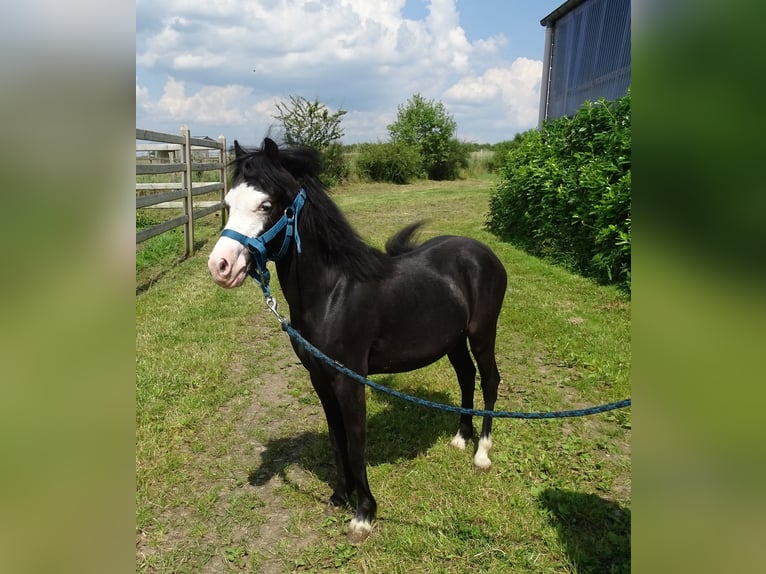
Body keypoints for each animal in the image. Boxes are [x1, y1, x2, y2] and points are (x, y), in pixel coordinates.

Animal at [208, 140, 510, 544]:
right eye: (228, 202)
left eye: (266, 205)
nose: (220, 266)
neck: (334, 292)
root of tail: (484, 253)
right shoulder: (320, 379)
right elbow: (337, 437)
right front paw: (340, 495)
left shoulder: (350, 381)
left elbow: (355, 439)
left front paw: (364, 513)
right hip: (453, 341)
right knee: (465, 377)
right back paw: (461, 437)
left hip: (481, 333)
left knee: (489, 380)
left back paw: (482, 453)